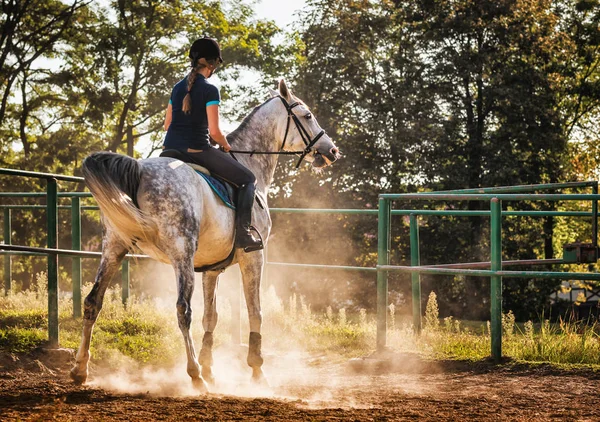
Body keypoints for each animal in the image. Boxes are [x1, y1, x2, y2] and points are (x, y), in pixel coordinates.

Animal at [69, 80, 340, 392]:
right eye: (307, 116)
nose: (332, 150)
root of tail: (139, 169)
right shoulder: (254, 258)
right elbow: (255, 311)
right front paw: (256, 369)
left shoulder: (211, 268)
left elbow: (211, 316)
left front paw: (212, 368)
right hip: (181, 253)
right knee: (182, 310)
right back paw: (195, 374)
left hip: (113, 248)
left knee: (93, 302)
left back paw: (80, 369)